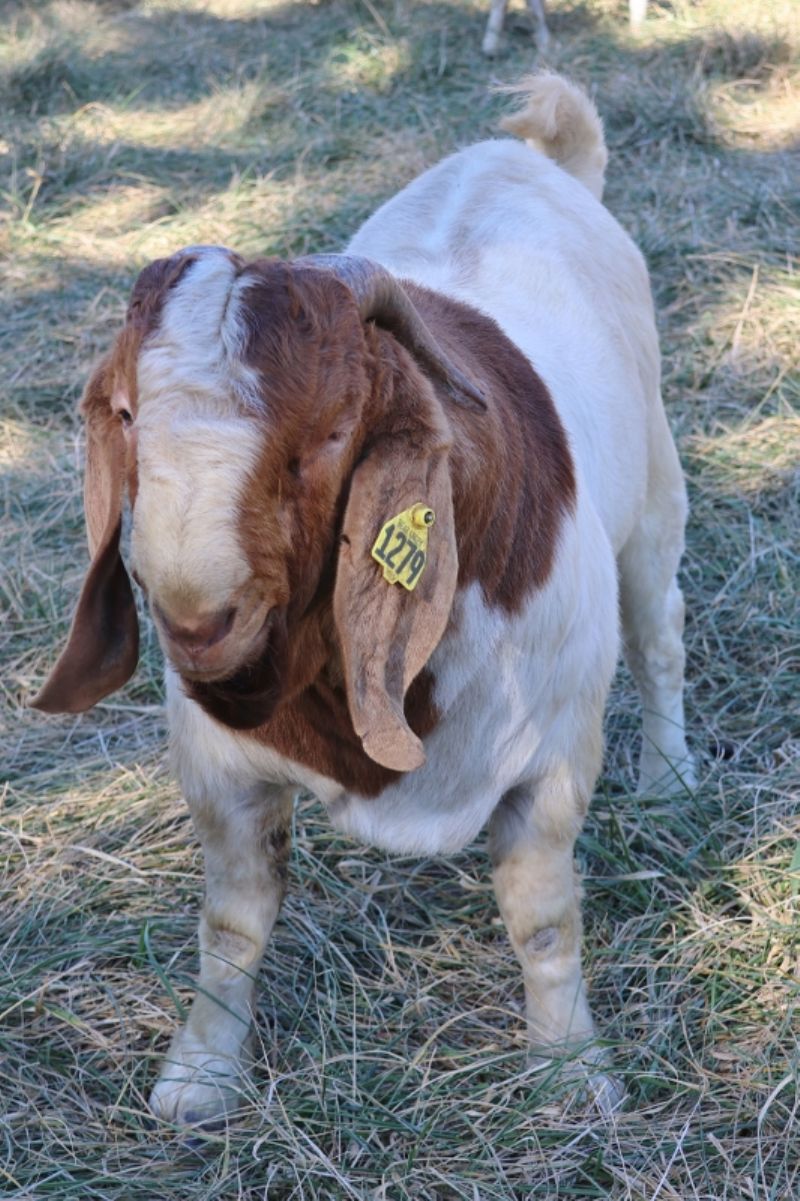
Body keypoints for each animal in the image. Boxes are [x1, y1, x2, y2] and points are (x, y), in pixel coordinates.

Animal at [32, 72, 691, 1124]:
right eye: (126, 415)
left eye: (335, 433)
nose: (196, 623)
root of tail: (536, 155)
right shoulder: (221, 767)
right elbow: (233, 922)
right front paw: (199, 1078)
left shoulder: (550, 762)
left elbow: (544, 920)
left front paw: (570, 1071)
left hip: (657, 490)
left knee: (660, 631)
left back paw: (671, 777)